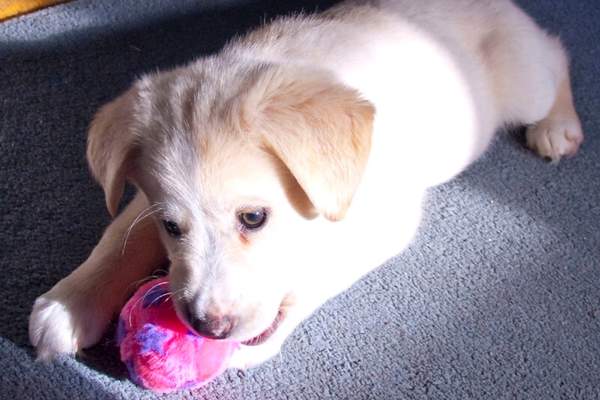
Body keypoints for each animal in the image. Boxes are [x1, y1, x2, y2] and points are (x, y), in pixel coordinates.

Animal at [28, 0, 580, 368]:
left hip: (522, 82)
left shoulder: (385, 221)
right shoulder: (144, 199)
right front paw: (69, 304)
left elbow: (316, 275)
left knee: (556, 54)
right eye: (171, 226)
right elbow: (116, 239)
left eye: (254, 217)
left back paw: (558, 126)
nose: (208, 327)